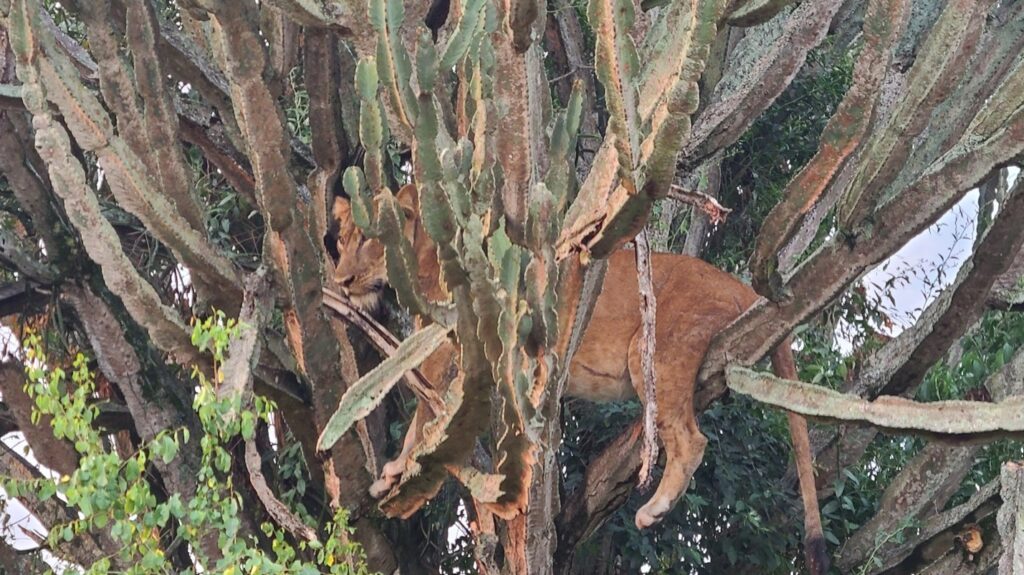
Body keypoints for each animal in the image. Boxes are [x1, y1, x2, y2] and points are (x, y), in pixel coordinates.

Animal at [332, 185, 824, 564]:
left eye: (370, 240)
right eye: (343, 238)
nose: (342, 281)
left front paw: (395, 469)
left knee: (690, 439)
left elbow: (422, 416)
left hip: (652, 353)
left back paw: (654, 509)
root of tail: (737, 284)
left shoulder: (451, 352)